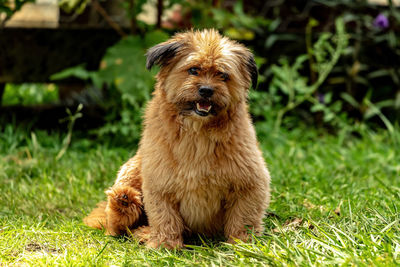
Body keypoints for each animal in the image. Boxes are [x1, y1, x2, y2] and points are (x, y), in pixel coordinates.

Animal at [84, 28, 272, 249]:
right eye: (193, 70)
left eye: (223, 75)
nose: (206, 90)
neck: (198, 133)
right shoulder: (159, 182)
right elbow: (164, 217)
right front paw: (164, 245)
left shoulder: (250, 183)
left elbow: (244, 218)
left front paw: (243, 244)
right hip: (133, 168)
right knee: (117, 225)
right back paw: (127, 206)